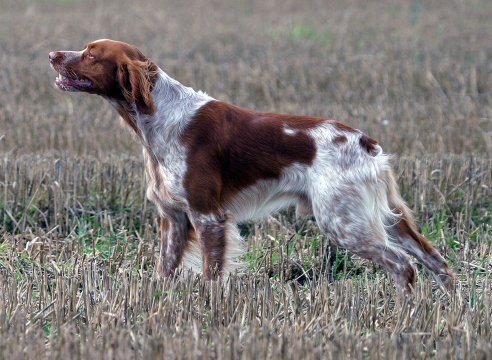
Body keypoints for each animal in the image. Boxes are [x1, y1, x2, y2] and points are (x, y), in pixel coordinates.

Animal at [49, 40, 454, 292]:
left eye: (90, 54)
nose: (53, 53)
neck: (159, 117)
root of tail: (366, 143)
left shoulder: (208, 216)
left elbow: (212, 274)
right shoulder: (174, 218)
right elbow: (164, 270)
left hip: (344, 222)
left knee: (403, 266)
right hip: (386, 217)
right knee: (436, 260)